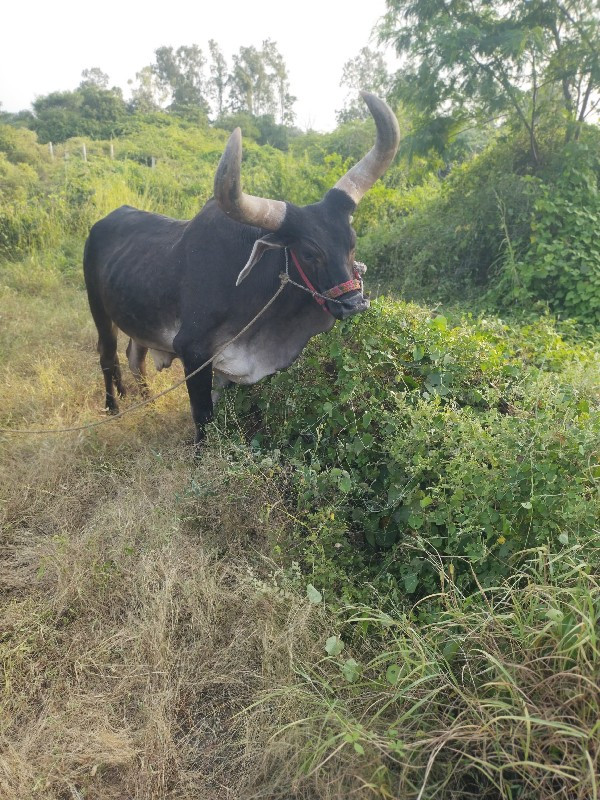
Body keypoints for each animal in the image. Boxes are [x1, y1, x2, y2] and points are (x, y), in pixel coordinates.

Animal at [84, 95, 400, 444]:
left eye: (352, 242)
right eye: (308, 253)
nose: (354, 304)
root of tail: (104, 220)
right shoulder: (193, 352)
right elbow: (203, 418)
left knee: (134, 356)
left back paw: (145, 402)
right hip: (99, 310)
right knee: (107, 355)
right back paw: (113, 407)